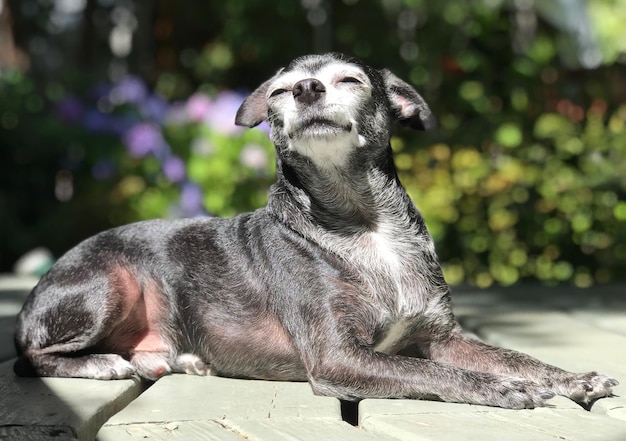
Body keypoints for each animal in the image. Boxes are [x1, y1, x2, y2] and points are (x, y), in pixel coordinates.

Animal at [13, 52, 616, 410]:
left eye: (350, 80)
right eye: (280, 91)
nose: (305, 88)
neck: (362, 223)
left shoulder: (443, 338)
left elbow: (517, 356)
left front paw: (569, 379)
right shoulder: (338, 358)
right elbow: (436, 374)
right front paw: (498, 387)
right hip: (108, 286)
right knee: (29, 359)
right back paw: (105, 362)